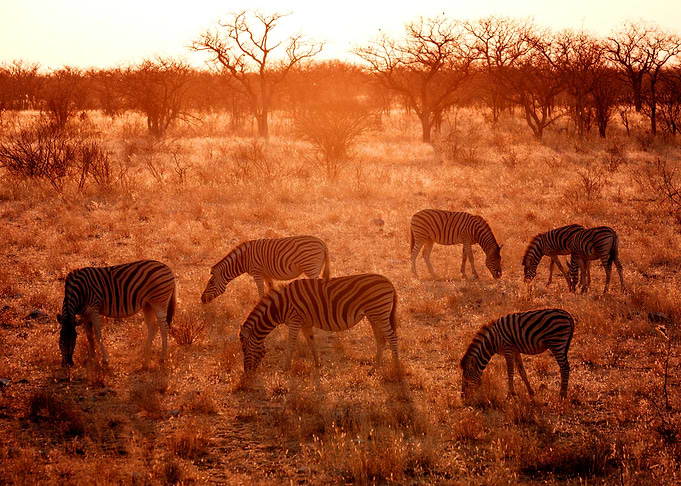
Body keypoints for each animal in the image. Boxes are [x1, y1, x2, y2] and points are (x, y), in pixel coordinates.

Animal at [201, 235, 330, 303]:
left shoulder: (257, 273)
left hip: (311, 268)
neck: (244, 259)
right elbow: (270, 288)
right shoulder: (267, 274)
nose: (202, 299)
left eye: (211, 283)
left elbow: (261, 291)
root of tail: (322, 243)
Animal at [239, 273, 398, 373]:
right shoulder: (305, 323)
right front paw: (317, 364)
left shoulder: (295, 320)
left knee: (391, 337)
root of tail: (388, 281)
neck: (280, 306)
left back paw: (397, 367)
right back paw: (375, 368)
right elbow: (311, 342)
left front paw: (285, 367)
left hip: (379, 313)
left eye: (245, 350)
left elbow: (290, 343)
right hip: (373, 316)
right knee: (381, 339)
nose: (247, 373)